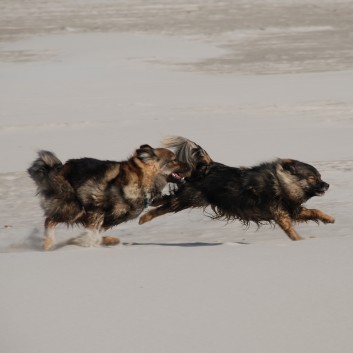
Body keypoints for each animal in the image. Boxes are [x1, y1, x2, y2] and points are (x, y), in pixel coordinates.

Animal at [28, 144, 188, 250]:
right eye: (173, 160)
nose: (190, 166)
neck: (141, 182)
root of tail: (55, 169)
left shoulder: (108, 219)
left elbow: (93, 234)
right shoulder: (96, 211)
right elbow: (92, 235)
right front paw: (91, 242)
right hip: (73, 208)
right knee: (49, 220)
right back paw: (48, 243)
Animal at [139, 136, 334, 241]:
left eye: (320, 177)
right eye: (313, 178)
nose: (327, 185)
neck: (279, 183)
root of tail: (209, 165)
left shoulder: (292, 209)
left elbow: (314, 211)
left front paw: (329, 218)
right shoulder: (280, 213)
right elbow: (289, 229)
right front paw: (299, 241)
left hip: (191, 198)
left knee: (167, 200)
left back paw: (153, 203)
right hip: (190, 198)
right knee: (165, 207)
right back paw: (144, 217)